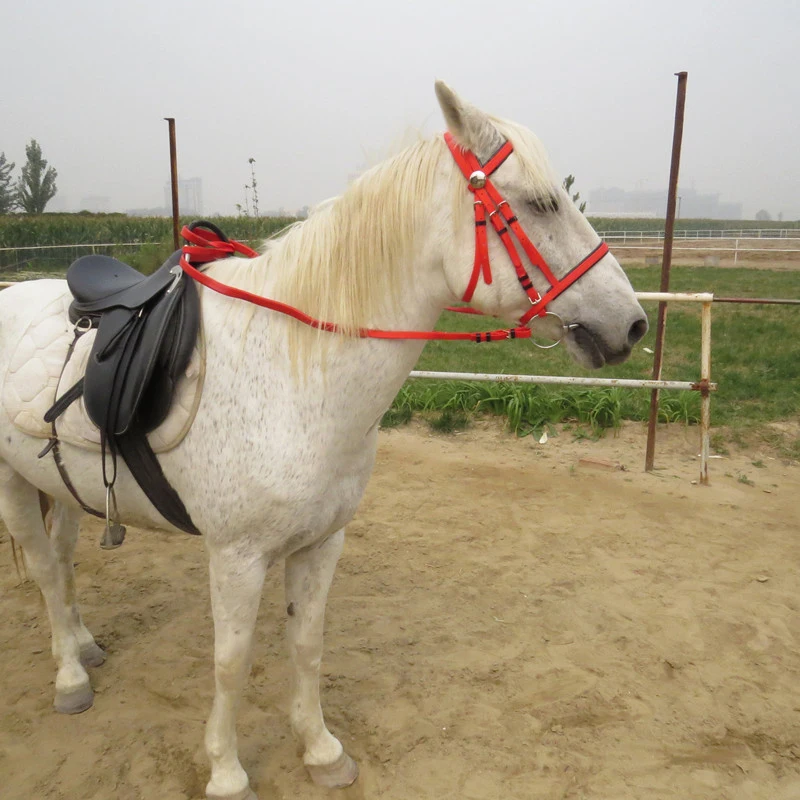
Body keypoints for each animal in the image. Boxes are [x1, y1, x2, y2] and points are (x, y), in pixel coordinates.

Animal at [0, 81, 647, 800]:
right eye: (540, 202)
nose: (632, 323)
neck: (294, 373)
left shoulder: (320, 542)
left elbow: (306, 645)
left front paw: (320, 750)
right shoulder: (236, 556)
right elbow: (231, 662)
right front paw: (226, 771)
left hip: (62, 482)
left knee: (61, 561)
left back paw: (84, 645)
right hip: (13, 484)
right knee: (45, 570)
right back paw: (70, 676)